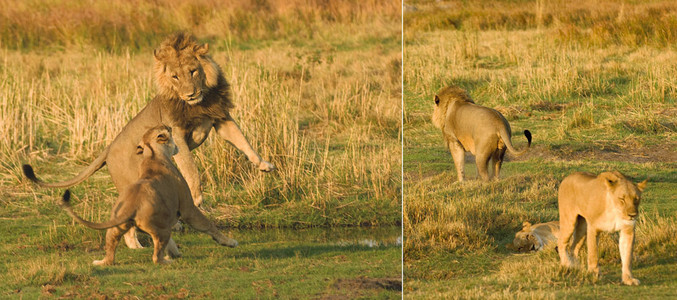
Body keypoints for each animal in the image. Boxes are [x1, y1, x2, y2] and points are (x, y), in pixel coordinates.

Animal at [24, 32, 272, 248]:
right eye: (175, 76)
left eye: (193, 71)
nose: (190, 94)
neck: (199, 102)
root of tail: (108, 149)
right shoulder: (177, 134)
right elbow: (191, 168)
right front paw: (197, 197)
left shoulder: (220, 118)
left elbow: (243, 141)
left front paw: (263, 164)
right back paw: (139, 246)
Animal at [58, 125, 238, 266]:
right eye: (167, 130)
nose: (170, 126)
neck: (153, 155)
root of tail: (129, 208)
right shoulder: (188, 207)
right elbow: (208, 225)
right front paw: (229, 242)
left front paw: (175, 253)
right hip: (162, 229)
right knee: (156, 257)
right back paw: (167, 261)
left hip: (116, 229)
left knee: (111, 251)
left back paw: (101, 262)